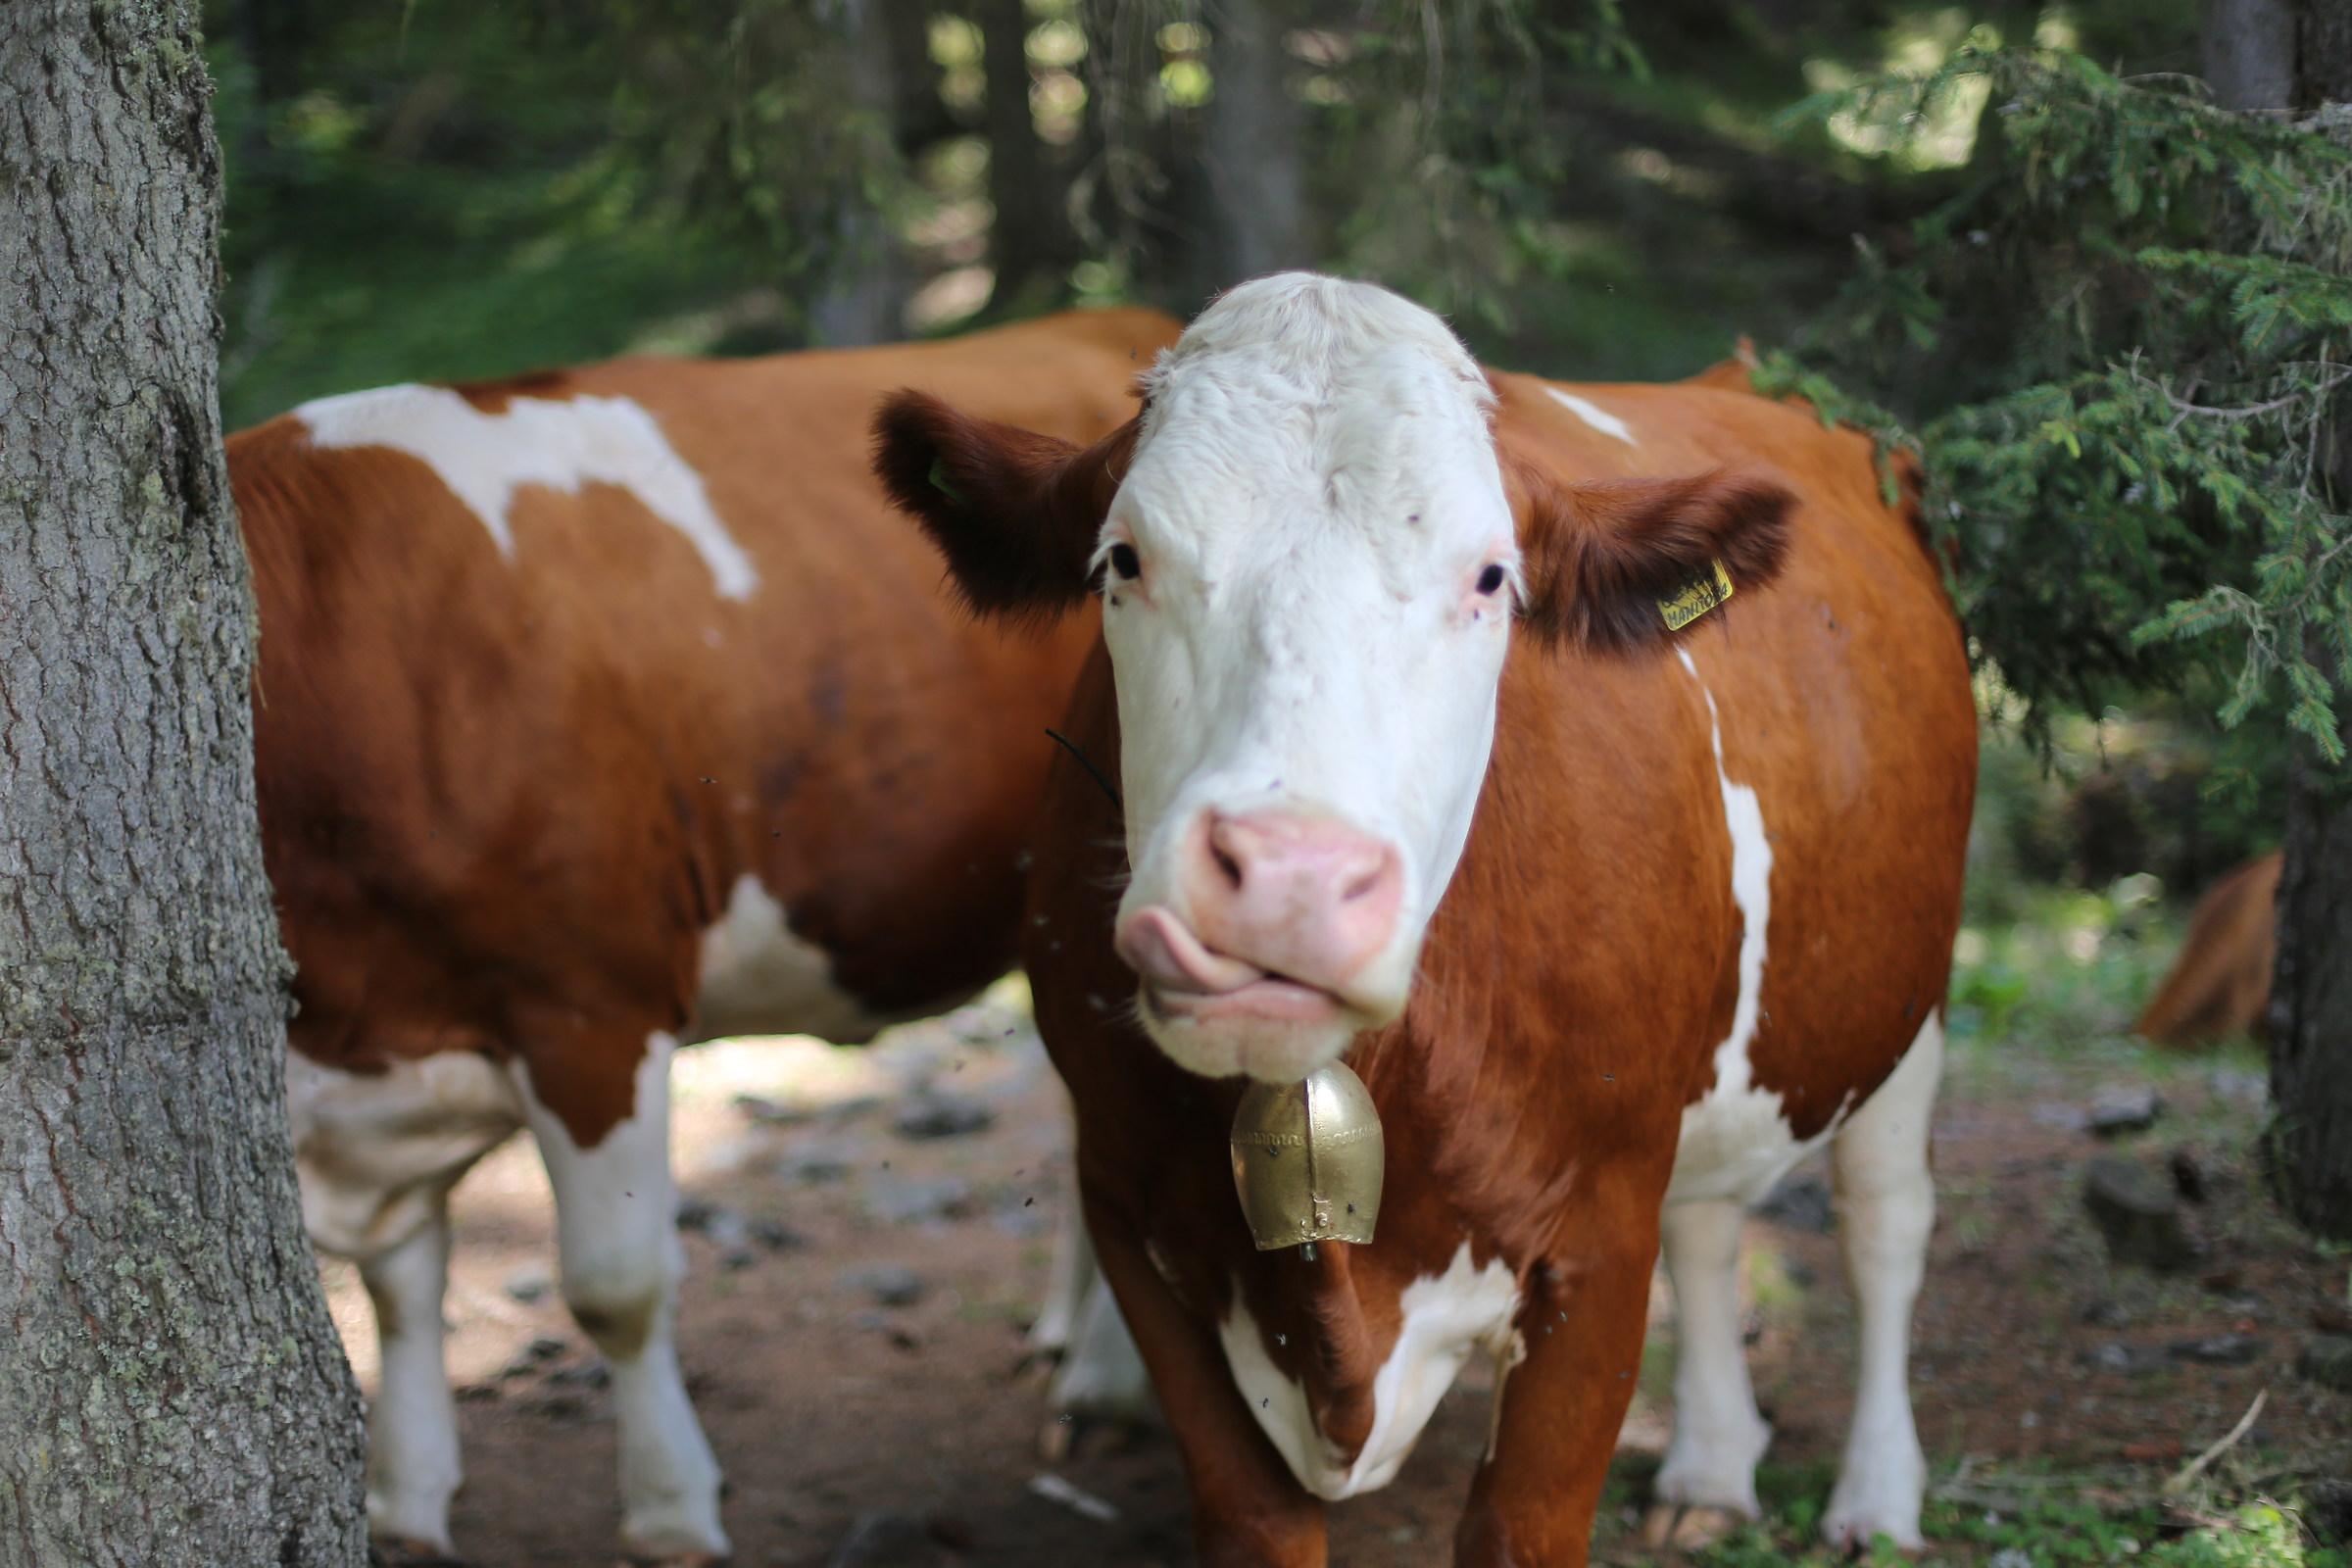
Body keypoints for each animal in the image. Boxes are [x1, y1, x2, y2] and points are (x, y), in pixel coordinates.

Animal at [229, 304, 1182, 1564]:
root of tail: (1114, 319)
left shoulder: (592, 1007)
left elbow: (614, 1287)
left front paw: (672, 1508)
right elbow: (399, 1281)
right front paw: (408, 1501)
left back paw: (1110, 1384)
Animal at [874, 273, 1976, 1565]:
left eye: (1492, 577)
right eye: (1123, 559)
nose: (1291, 875)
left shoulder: (1598, 1240)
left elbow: (1524, 1520)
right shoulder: (1131, 1211)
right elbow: (1253, 1519)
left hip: (1906, 1003)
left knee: (1884, 1226)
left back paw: (1877, 1496)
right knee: (1712, 1223)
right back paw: (1709, 1465)